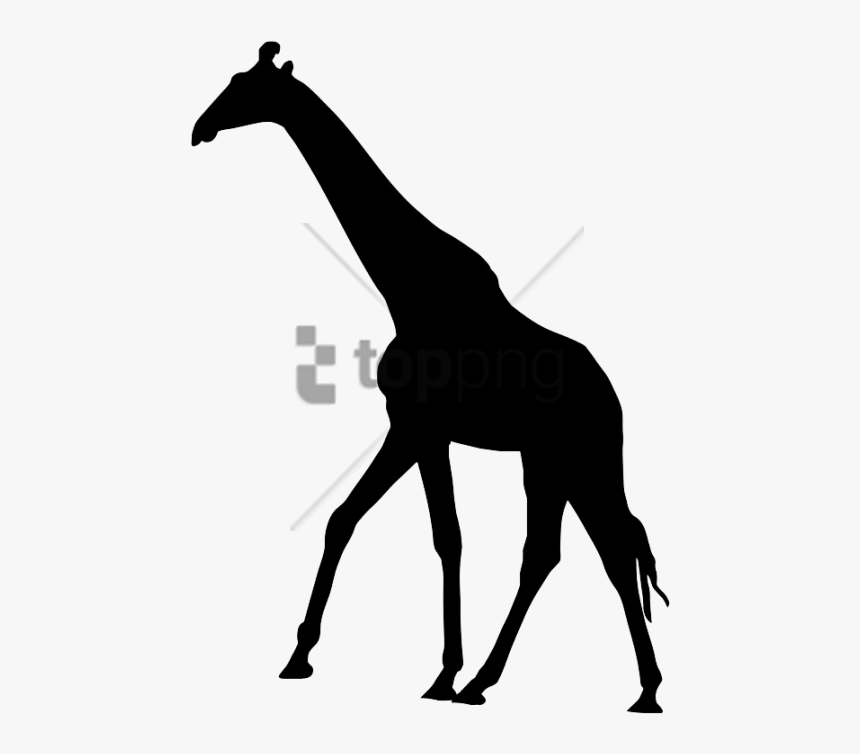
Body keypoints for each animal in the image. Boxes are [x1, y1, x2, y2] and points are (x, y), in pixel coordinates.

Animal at [192, 42, 670, 712]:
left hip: (580, 459)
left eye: (243, 86)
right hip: (543, 462)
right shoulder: (413, 429)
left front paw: (441, 673)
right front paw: (300, 656)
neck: (408, 288)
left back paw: (644, 690)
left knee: (615, 548)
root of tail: (614, 399)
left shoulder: (421, 426)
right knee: (545, 554)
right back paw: (485, 683)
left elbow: (447, 537)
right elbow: (348, 519)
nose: (199, 128)